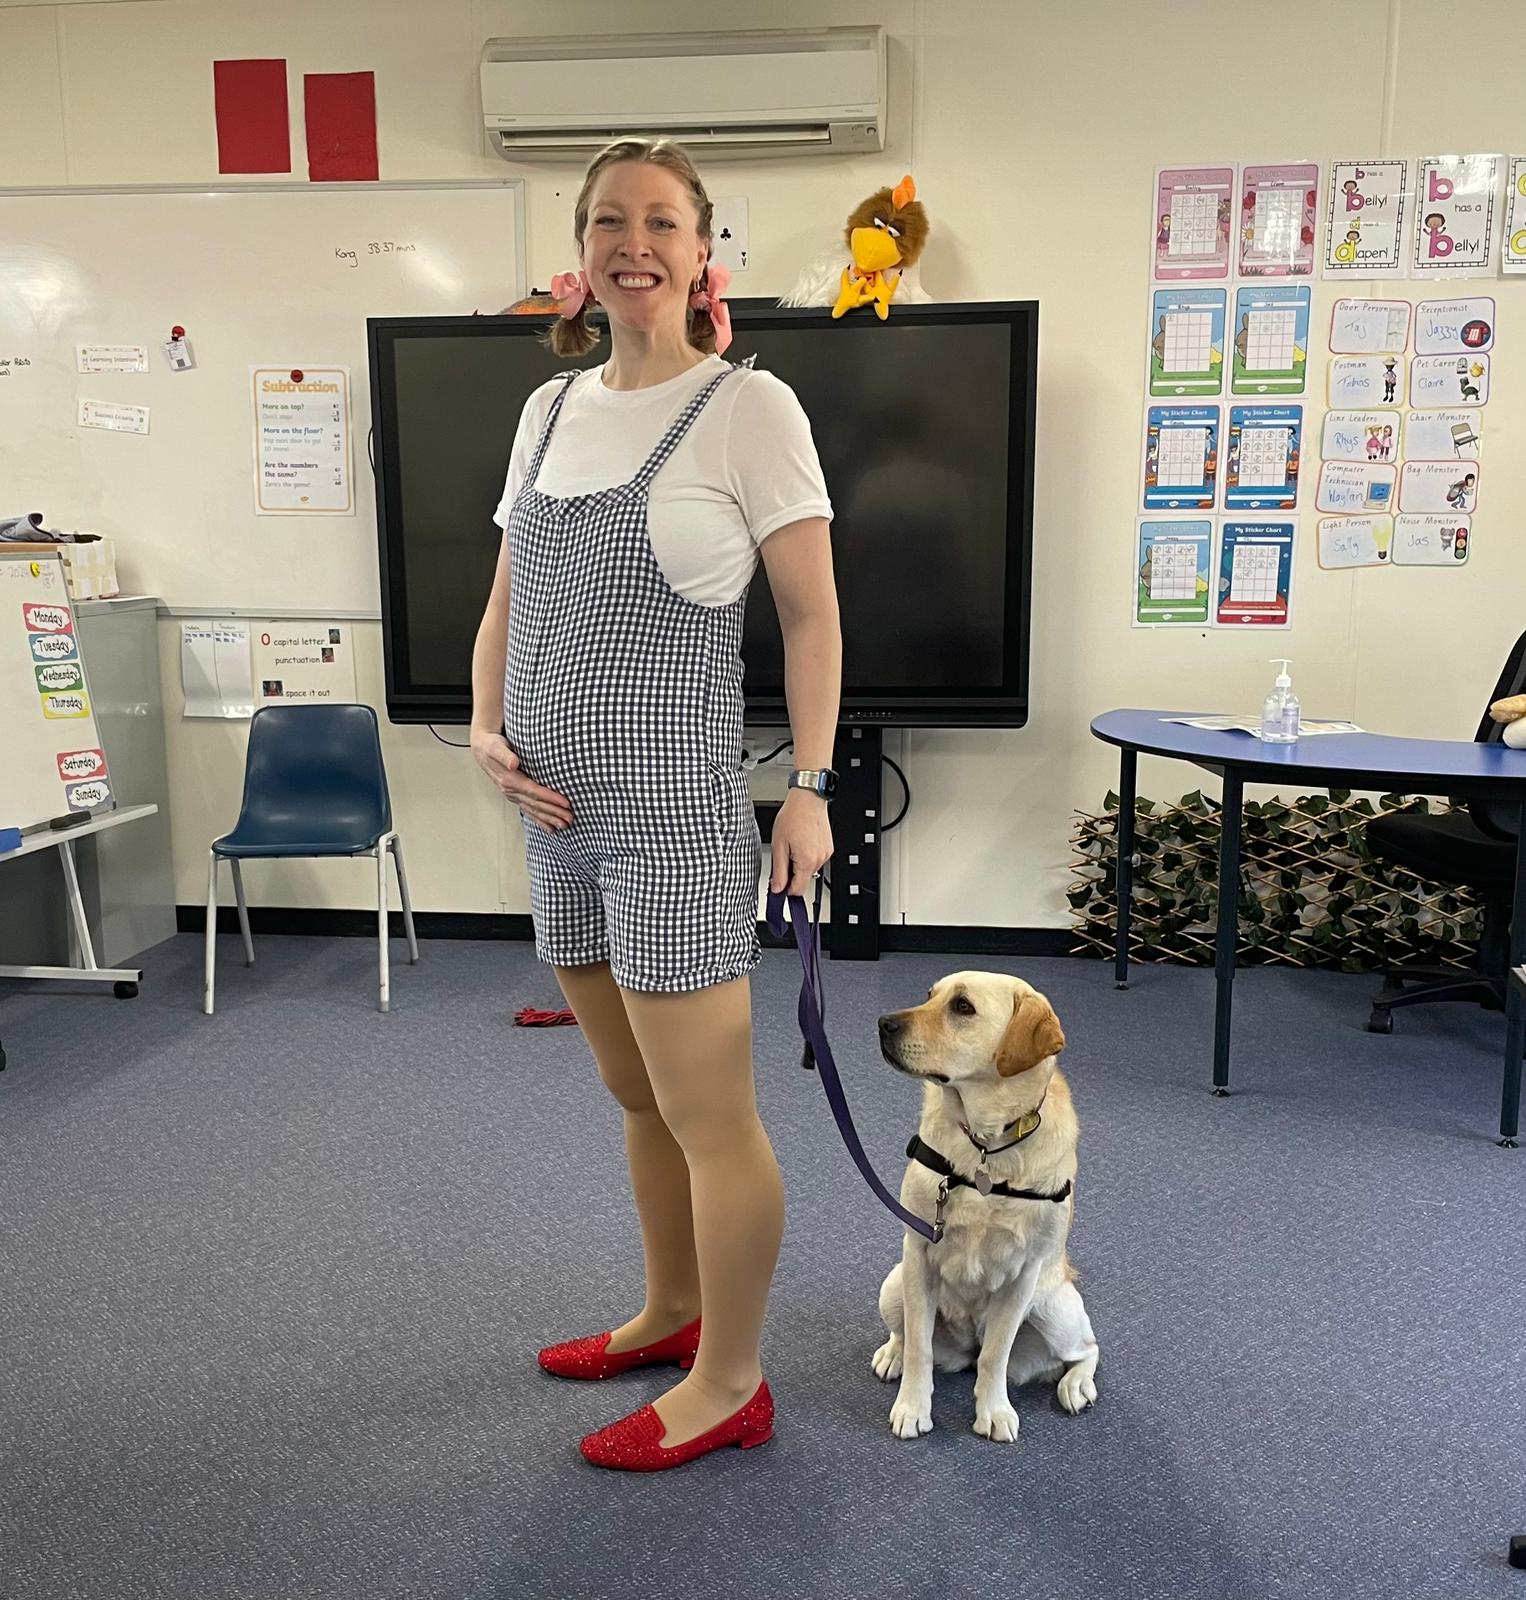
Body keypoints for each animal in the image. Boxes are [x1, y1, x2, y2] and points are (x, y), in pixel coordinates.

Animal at [870, 966, 1094, 1446]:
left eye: (962, 1007)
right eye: (929, 995)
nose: (883, 1023)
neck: (986, 1146)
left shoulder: (1024, 1274)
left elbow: (995, 1354)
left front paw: (993, 1412)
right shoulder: (919, 1251)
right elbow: (919, 1346)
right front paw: (912, 1408)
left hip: (1056, 1310)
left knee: (1085, 1349)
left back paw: (1077, 1384)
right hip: (894, 1283)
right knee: (906, 1333)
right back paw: (892, 1354)